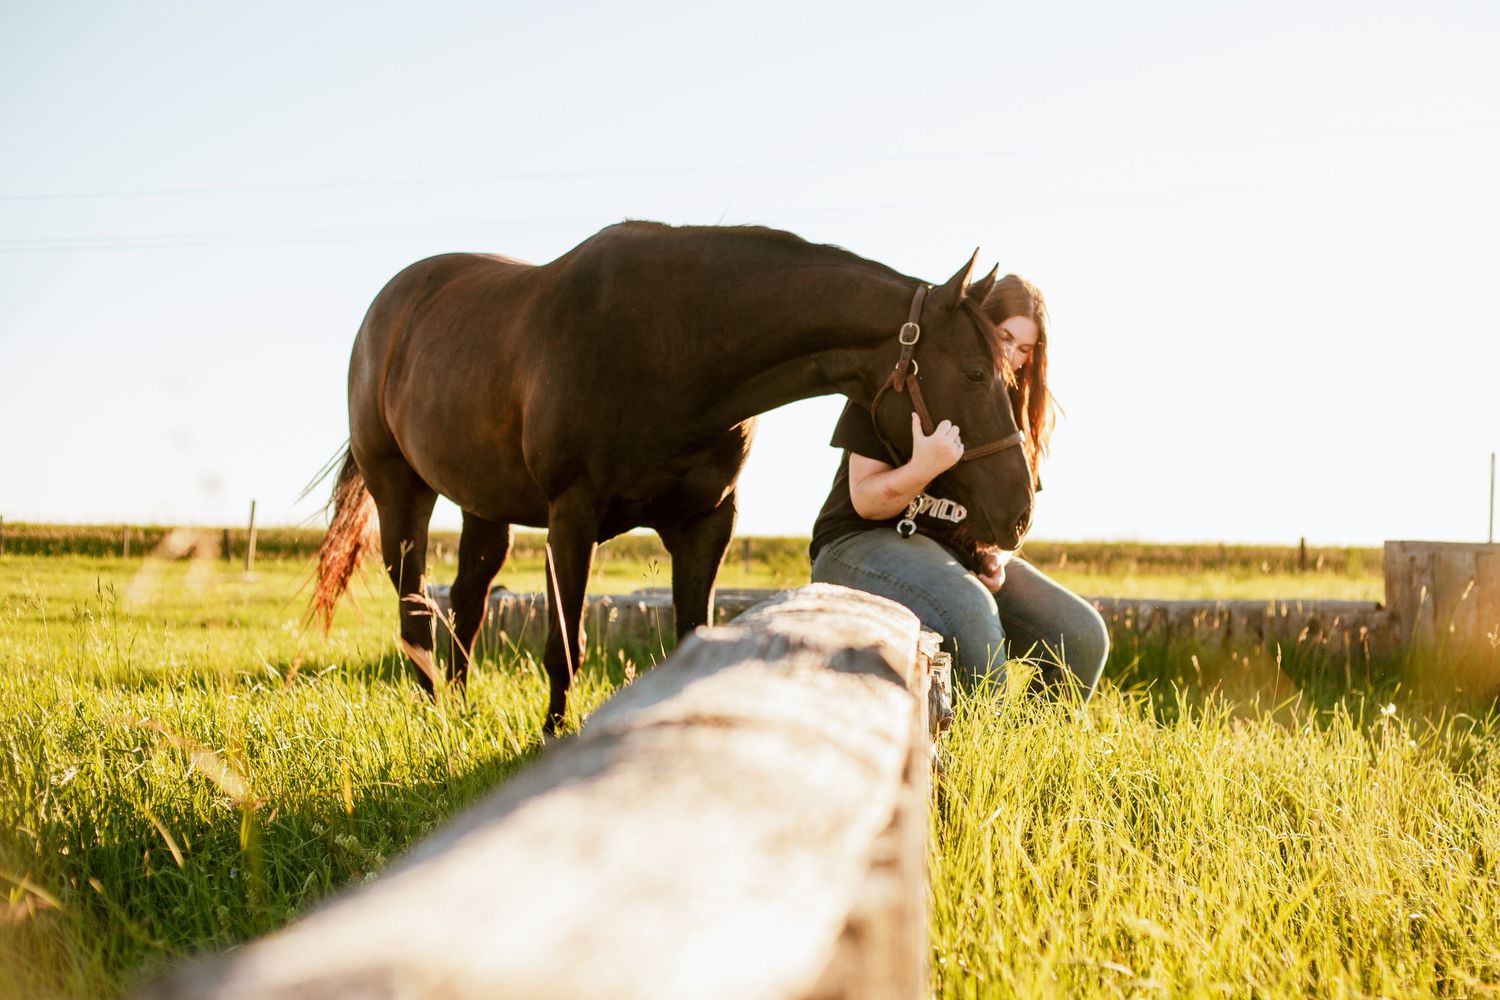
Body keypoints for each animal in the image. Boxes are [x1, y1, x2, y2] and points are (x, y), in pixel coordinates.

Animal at [311, 221, 1034, 734]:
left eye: (1010, 373)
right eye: (976, 373)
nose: (1021, 511)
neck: (677, 348)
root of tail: (389, 309)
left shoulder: (706, 524)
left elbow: (691, 636)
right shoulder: (572, 519)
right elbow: (565, 648)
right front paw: (551, 739)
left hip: (485, 506)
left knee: (466, 600)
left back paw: (458, 711)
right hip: (401, 491)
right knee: (415, 611)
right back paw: (433, 716)